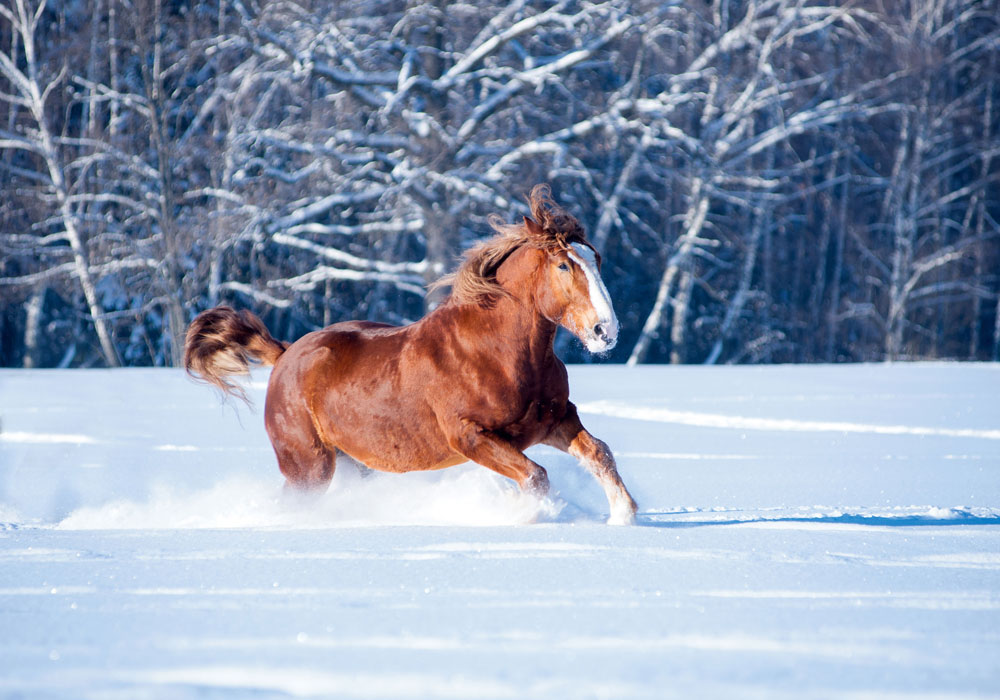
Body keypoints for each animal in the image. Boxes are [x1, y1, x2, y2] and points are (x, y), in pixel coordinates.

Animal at [186, 186, 640, 524]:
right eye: (564, 265)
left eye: (596, 259)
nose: (605, 332)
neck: (497, 354)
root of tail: (284, 355)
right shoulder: (469, 436)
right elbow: (535, 477)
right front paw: (528, 517)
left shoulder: (555, 419)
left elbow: (599, 453)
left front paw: (624, 517)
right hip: (308, 465)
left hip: (351, 463)